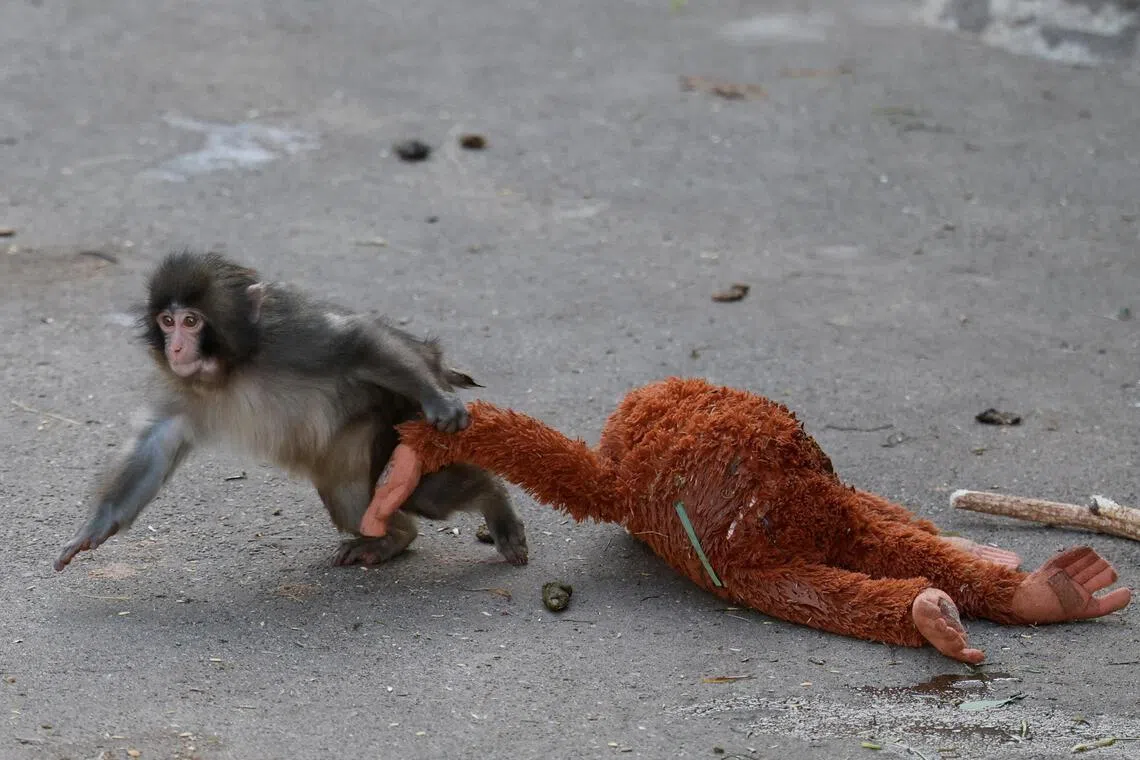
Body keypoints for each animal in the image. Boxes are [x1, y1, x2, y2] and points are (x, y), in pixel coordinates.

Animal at [54, 250, 527, 572]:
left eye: (191, 321)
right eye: (166, 322)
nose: (176, 348)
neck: (233, 367)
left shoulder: (290, 337)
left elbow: (353, 342)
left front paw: (440, 400)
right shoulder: (181, 385)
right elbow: (157, 441)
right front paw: (95, 527)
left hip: (399, 414)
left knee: (428, 491)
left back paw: (494, 501)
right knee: (353, 499)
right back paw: (392, 539)